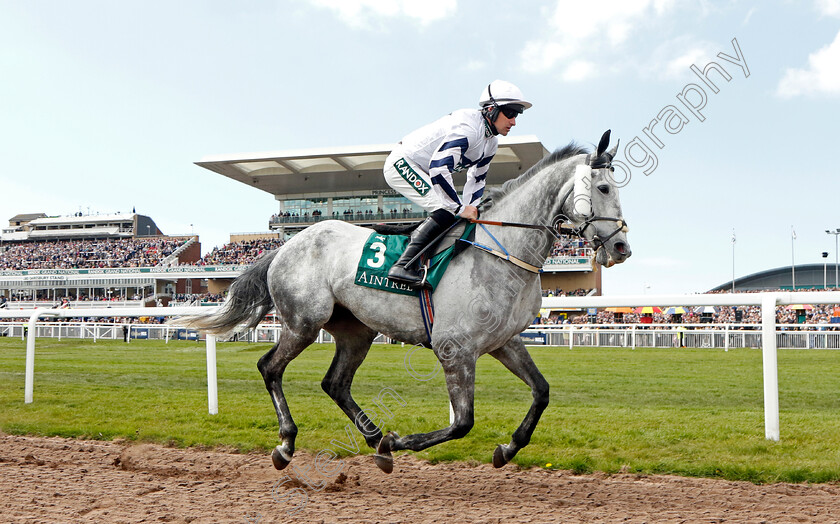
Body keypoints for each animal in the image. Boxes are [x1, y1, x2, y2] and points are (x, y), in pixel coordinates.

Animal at [179, 132, 632, 474]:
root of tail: (286, 244)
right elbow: (462, 422)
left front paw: (507, 448)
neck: (501, 251)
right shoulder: (455, 349)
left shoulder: (505, 341)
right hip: (304, 321)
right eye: (604, 187)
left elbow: (541, 392)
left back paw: (374, 436)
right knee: (270, 368)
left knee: (335, 383)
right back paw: (288, 444)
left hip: (356, 331)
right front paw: (399, 443)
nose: (621, 248)